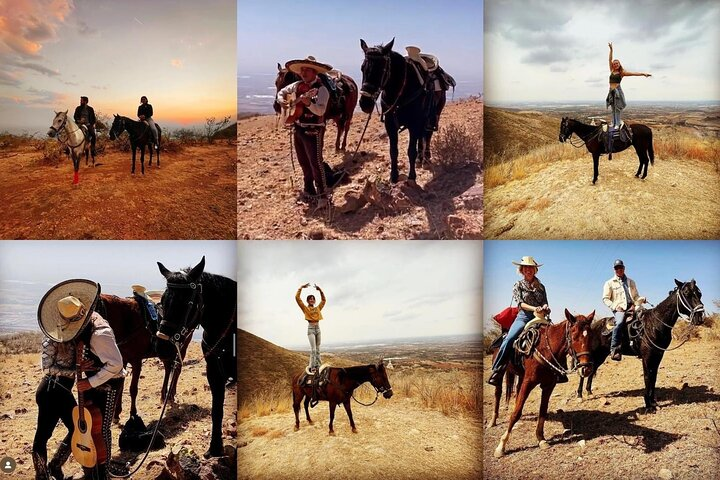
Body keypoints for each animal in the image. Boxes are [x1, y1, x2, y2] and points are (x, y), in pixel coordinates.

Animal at [97, 292, 191, 420]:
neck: (127, 321)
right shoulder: (123, 361)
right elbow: (121, 387)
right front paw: (116, 413)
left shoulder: (137, 362)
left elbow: (133, 389)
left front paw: (133, 413)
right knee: (168, 369)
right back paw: (164, 395)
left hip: (181, 348)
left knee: (177, 369)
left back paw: (171, 395)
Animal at [156, 256, 238, 456]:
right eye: (162, 301)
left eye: (185, 303)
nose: (161, 345)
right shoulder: (214, 372)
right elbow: (217, 410)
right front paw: (215, 448)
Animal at [358, 37, 434, 184]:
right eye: (362, 68)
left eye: (381, 69)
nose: (365, 103)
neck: (402, 90)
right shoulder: (390, 124)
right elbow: (393, 151)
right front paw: (393, 176)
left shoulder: (414, 124)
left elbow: (411, 151)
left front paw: (412, 176)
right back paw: (420, 158)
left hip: (430, 117)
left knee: (427, 135)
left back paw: (425, 156)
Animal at [492, 310, 592, 460]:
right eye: (574, 337)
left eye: (591, 336)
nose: (586, 369)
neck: (545, 348)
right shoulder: (528, 382)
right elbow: (516, 413)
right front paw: (501, 446)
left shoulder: (548, 385)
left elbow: (542, 411)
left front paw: (541, 439)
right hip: (501, 374)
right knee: (498, 394)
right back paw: (493, 421)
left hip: (520, 376)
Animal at [576, 280, 704, 410]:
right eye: (687, 293)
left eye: (699, 293)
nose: (700, 317)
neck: (654, 324)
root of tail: (592, 326)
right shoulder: (647, 356)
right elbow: (647, 377)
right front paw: (648, 404)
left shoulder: (658, 354)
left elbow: (654, 377)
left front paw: (653, 402)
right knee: (584, 370)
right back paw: (580, 395)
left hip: (601, 355)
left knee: (592, 369)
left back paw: (589, 391)